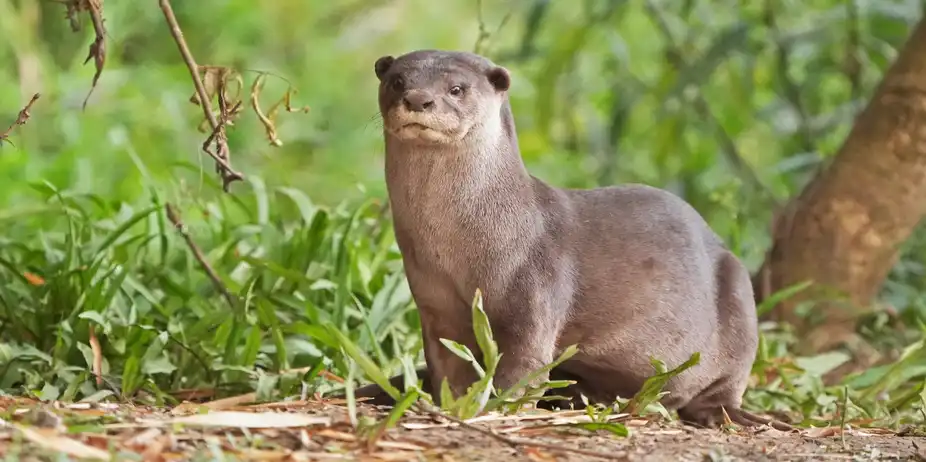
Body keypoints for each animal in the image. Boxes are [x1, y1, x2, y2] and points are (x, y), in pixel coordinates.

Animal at [354, 49, 790, 430]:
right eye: (397, 81)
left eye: (457, 88)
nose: (418, 99)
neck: (460, 247)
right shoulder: (433, 302)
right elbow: (445, 359)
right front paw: (449, 400)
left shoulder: (536, 286)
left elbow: (524, 363)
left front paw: (494, 406)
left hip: (737, 292)